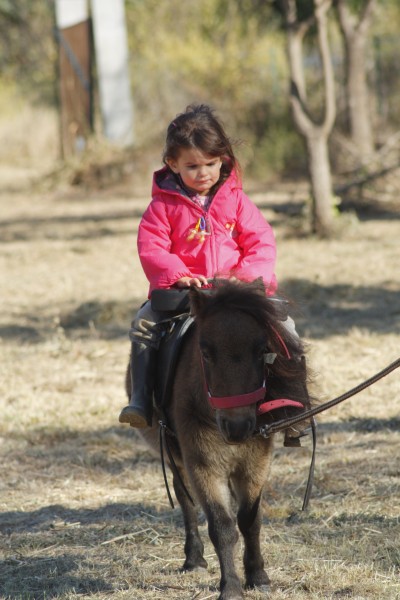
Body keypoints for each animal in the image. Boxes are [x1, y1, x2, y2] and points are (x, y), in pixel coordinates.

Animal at [130, 282, 310, 600]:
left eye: (263, 350)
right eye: (205, 352)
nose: (237, 426)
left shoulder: (255, 464)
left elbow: (250, 520)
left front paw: (258, 576)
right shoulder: (203, 465)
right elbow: (222, 525)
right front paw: (231, 587)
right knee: (185, 498)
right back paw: (194, 558)